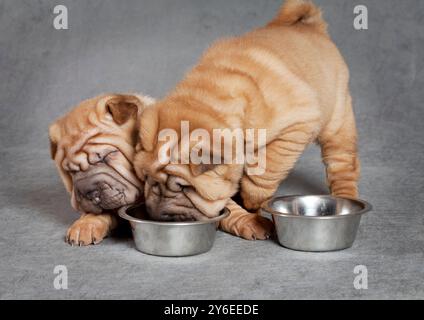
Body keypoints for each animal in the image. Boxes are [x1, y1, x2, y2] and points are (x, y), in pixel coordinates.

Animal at [134, 0, 360, 240]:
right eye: (146, 179)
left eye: (185, 188)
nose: (156, 214)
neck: (208, 102)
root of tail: (313, 27)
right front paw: (249, 221)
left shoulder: (297, 122)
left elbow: (268, 166)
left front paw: (253, 199)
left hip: (337, 120)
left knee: (342, 163)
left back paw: (347, 197)